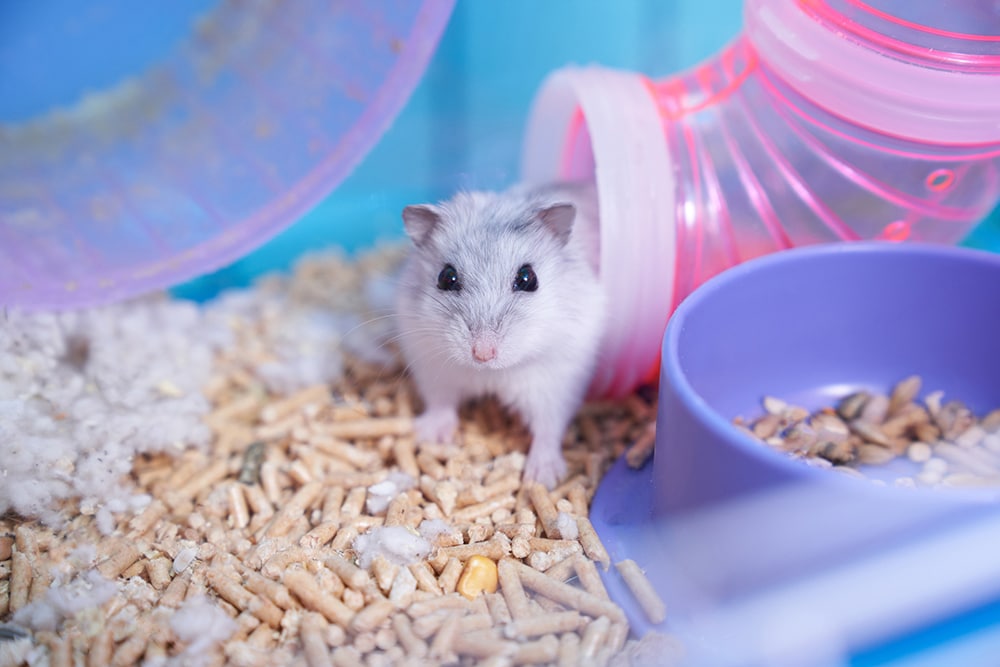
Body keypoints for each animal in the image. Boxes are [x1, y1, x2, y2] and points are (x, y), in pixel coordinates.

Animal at [394, 180, 604, 488]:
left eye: (528, 278)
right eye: (446, 277)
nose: (483, 353)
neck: (489, 373)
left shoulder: (555, 382)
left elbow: (548, 427)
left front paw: (542, 478)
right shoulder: (433, 367)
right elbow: (441, 402)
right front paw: (426, 435)